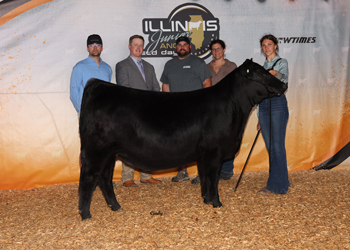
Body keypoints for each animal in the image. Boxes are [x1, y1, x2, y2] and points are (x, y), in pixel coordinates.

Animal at [78, 59, 288, 220]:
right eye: (261, 73)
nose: (284, 85)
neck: (232, 106)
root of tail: (97, 84)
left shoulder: (204, 154)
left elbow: (205, 176)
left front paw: (206, 200)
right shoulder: (215, 151)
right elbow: (213, 177)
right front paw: (217, 203)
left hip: (109, 154)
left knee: (104, 178)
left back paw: (115, 207)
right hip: (97, 151)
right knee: (89, 178)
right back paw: (86, 214)